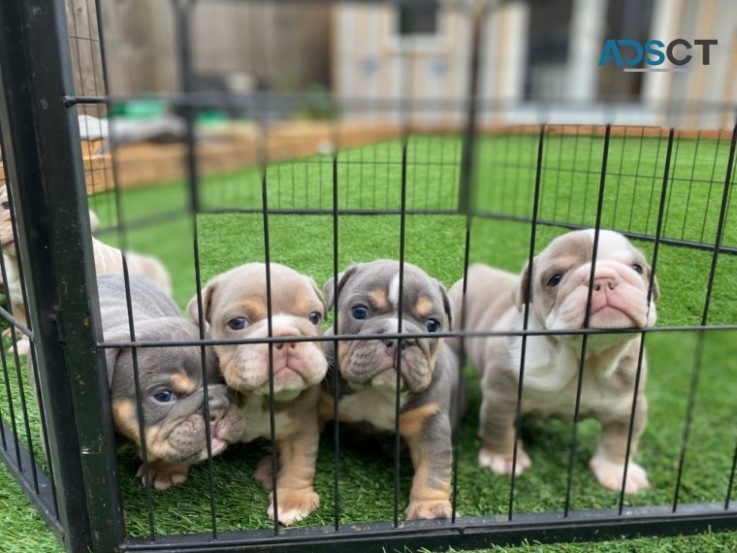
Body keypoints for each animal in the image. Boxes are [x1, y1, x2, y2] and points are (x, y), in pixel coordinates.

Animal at [187, 264, 328, 528]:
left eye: (314, 317)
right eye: (238, 323)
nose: (286, 338)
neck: (260, 397)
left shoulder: (302, 425)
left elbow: (299, 462)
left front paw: (292, 500)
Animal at [320, 260, 462, 520]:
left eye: (432, 325)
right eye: (360, 311)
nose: (399, 339)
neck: (377, 391)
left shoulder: (430, 421)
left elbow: (434, 467)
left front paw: (430, 509)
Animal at [448, 229, 660, 492]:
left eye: (637, 268)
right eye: (555, 279)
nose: (603, 280)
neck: (584, 357)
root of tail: (478, 269)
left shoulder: (629, 404)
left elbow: (620, 442)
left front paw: (618, 472)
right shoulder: (502, 394)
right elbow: (499, 428)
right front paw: (503, 459)